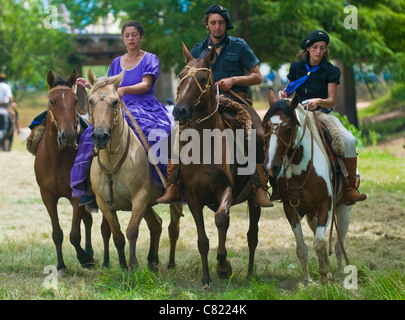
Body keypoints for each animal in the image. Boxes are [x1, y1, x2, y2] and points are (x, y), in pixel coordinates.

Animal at [33, 71, 93, 274]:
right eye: (52, 101)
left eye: (75, 100)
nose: (68, 136)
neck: (56, 159)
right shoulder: (47, 196)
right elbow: (57, 233)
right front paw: (60, 265)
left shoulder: (77, 196)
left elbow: (74, 235)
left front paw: (84, 258)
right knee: (88, 220)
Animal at [87, 69, 184, 272]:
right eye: (90, 101)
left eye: (116, 101)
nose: (100, 136)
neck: (112, 162)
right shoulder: (104, 204)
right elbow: (117, 235)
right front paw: (124, 266)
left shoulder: (139, 199)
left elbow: (132, 231)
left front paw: (133, 266)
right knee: (156, 224)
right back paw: (153, 261)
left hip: (172, 201)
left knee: (173, 228)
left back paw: (170, 263)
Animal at [172, 43, 260, 288]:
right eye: (181, 76)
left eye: (203, 78)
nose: (180, 110)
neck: (205, 147)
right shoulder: (193, 197)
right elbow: (202, 240)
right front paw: (206, 278)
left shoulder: (227, 188)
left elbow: (221, 219)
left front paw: (223, 267)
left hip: (254, 199)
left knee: (252, 235)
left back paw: (250, 274)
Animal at [262, 96, 350, 284]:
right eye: (265, 126)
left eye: (288, 128)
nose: (270, 167)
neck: (301, 171)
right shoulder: (291, 211)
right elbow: (302, 247)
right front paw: (307, 280)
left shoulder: (326, 206)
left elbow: (319, 242)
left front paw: (324, 274)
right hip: (311, 215)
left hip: (345, 208)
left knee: (339, 244)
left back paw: (339, 272)